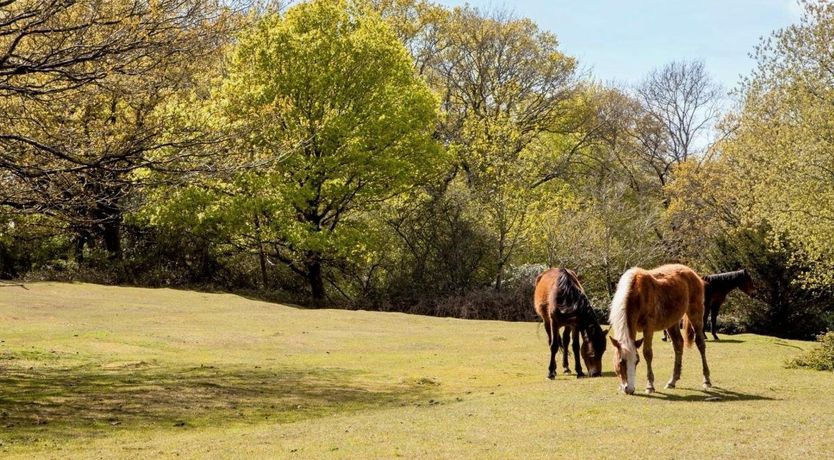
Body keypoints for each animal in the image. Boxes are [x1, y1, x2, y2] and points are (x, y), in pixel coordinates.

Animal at [604, 264, 708, 394]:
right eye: (621, 361)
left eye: (637, 361)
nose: (629, 389)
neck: (636, 294)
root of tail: (692, 273)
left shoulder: (648, 326)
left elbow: (647, 353)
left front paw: (650, 386)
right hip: (671, 322)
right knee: (678, 344)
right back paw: (672, 381)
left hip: (695, 314)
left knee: (700, 343)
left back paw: (706, 380)